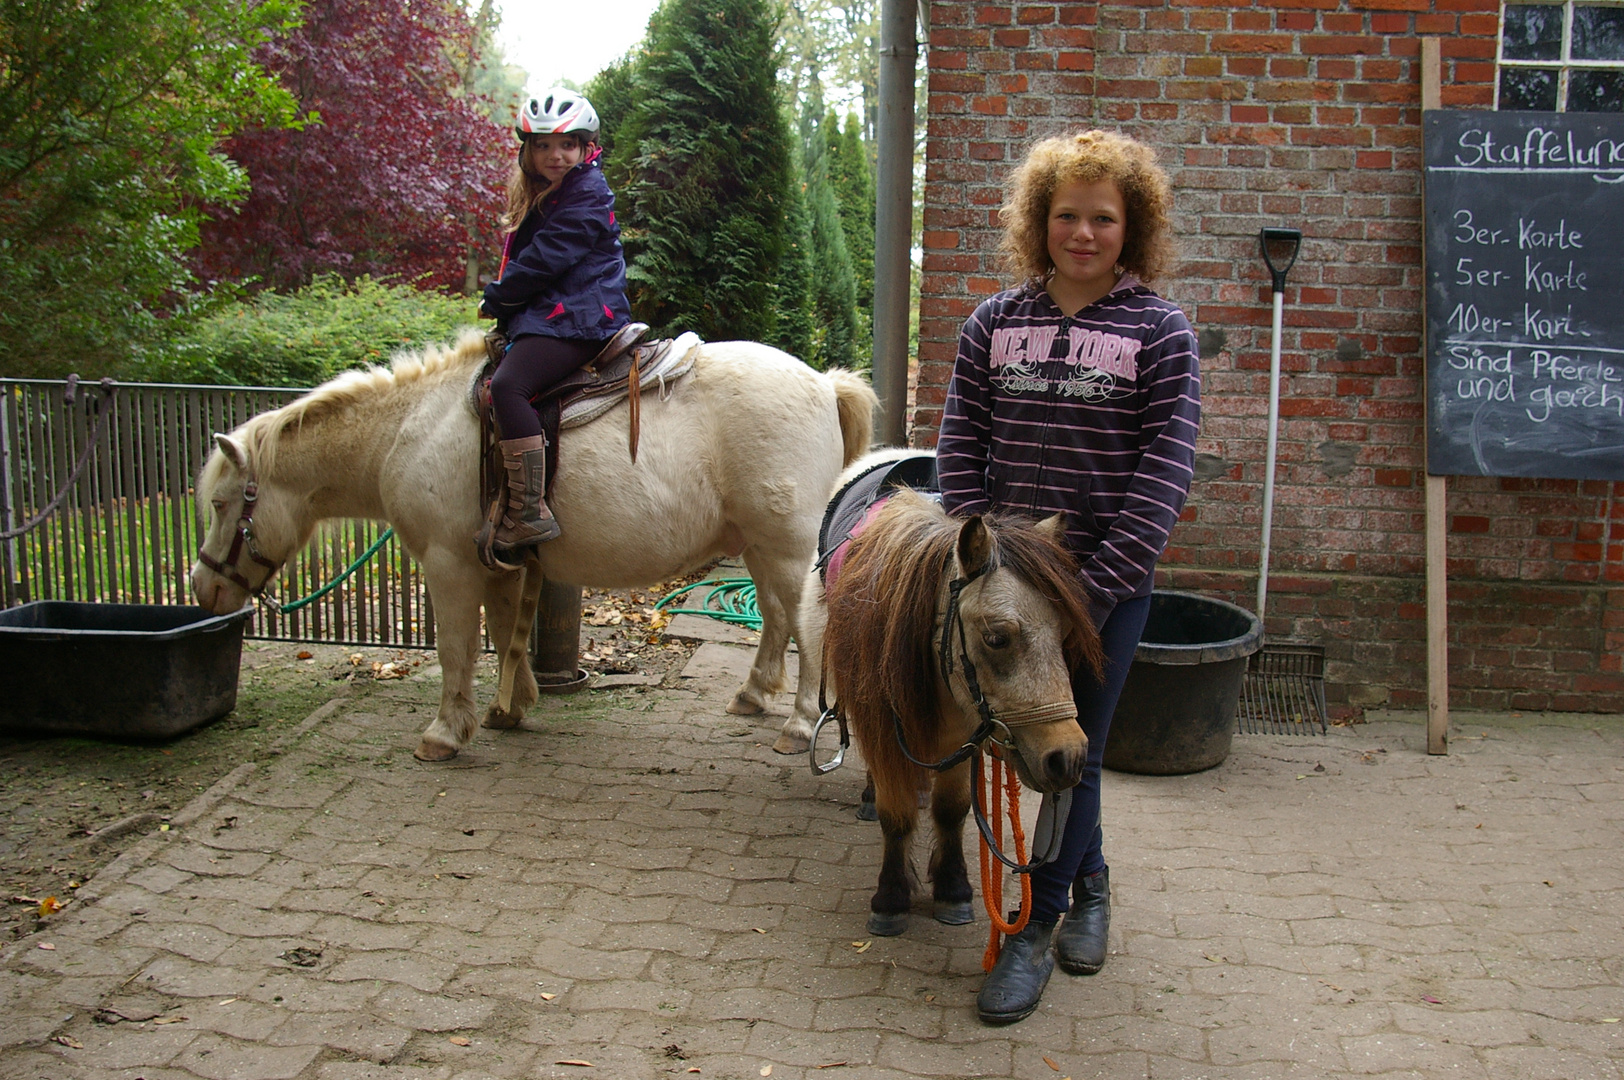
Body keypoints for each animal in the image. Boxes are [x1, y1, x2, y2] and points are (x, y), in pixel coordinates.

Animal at [190, 328, 876, 756]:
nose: (202, 589)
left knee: (804, 630)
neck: (412, 429)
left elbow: (457, 648)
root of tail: (824, 383)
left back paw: (797, 724)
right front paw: (510, 707)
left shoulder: (448, 564)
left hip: (787, 550)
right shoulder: (499, 564)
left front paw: (446, 731)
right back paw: (753, 696)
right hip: (759, 546)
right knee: (777, 621)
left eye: (222, 504)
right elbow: (504, 633)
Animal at [799, 451, 1104, 928]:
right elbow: (896, 811)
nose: (1067, 758)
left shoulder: (967, 734)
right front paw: (891, 897)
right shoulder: (884, 727)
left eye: (1066, 633)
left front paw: (953, 888)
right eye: (996, 637)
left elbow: (952, 809)